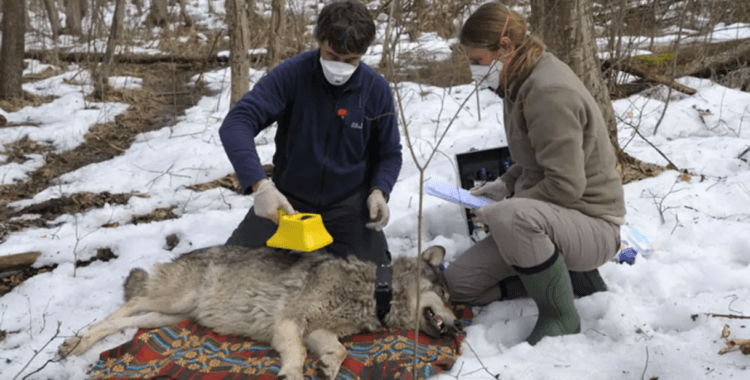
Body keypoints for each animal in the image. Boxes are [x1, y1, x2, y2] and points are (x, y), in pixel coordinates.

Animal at [58, 245, 464, 378]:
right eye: (445, 295)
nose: (459, 326)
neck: (374, 292)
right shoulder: (289, 324)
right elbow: (296, 355)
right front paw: (294, 374)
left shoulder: (316, 330)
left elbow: (339, 349)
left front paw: (328, 368)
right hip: (171, 302)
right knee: (125, 306)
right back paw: (75, 342)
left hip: (169, 317)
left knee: (128, 320)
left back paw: (79, 344)